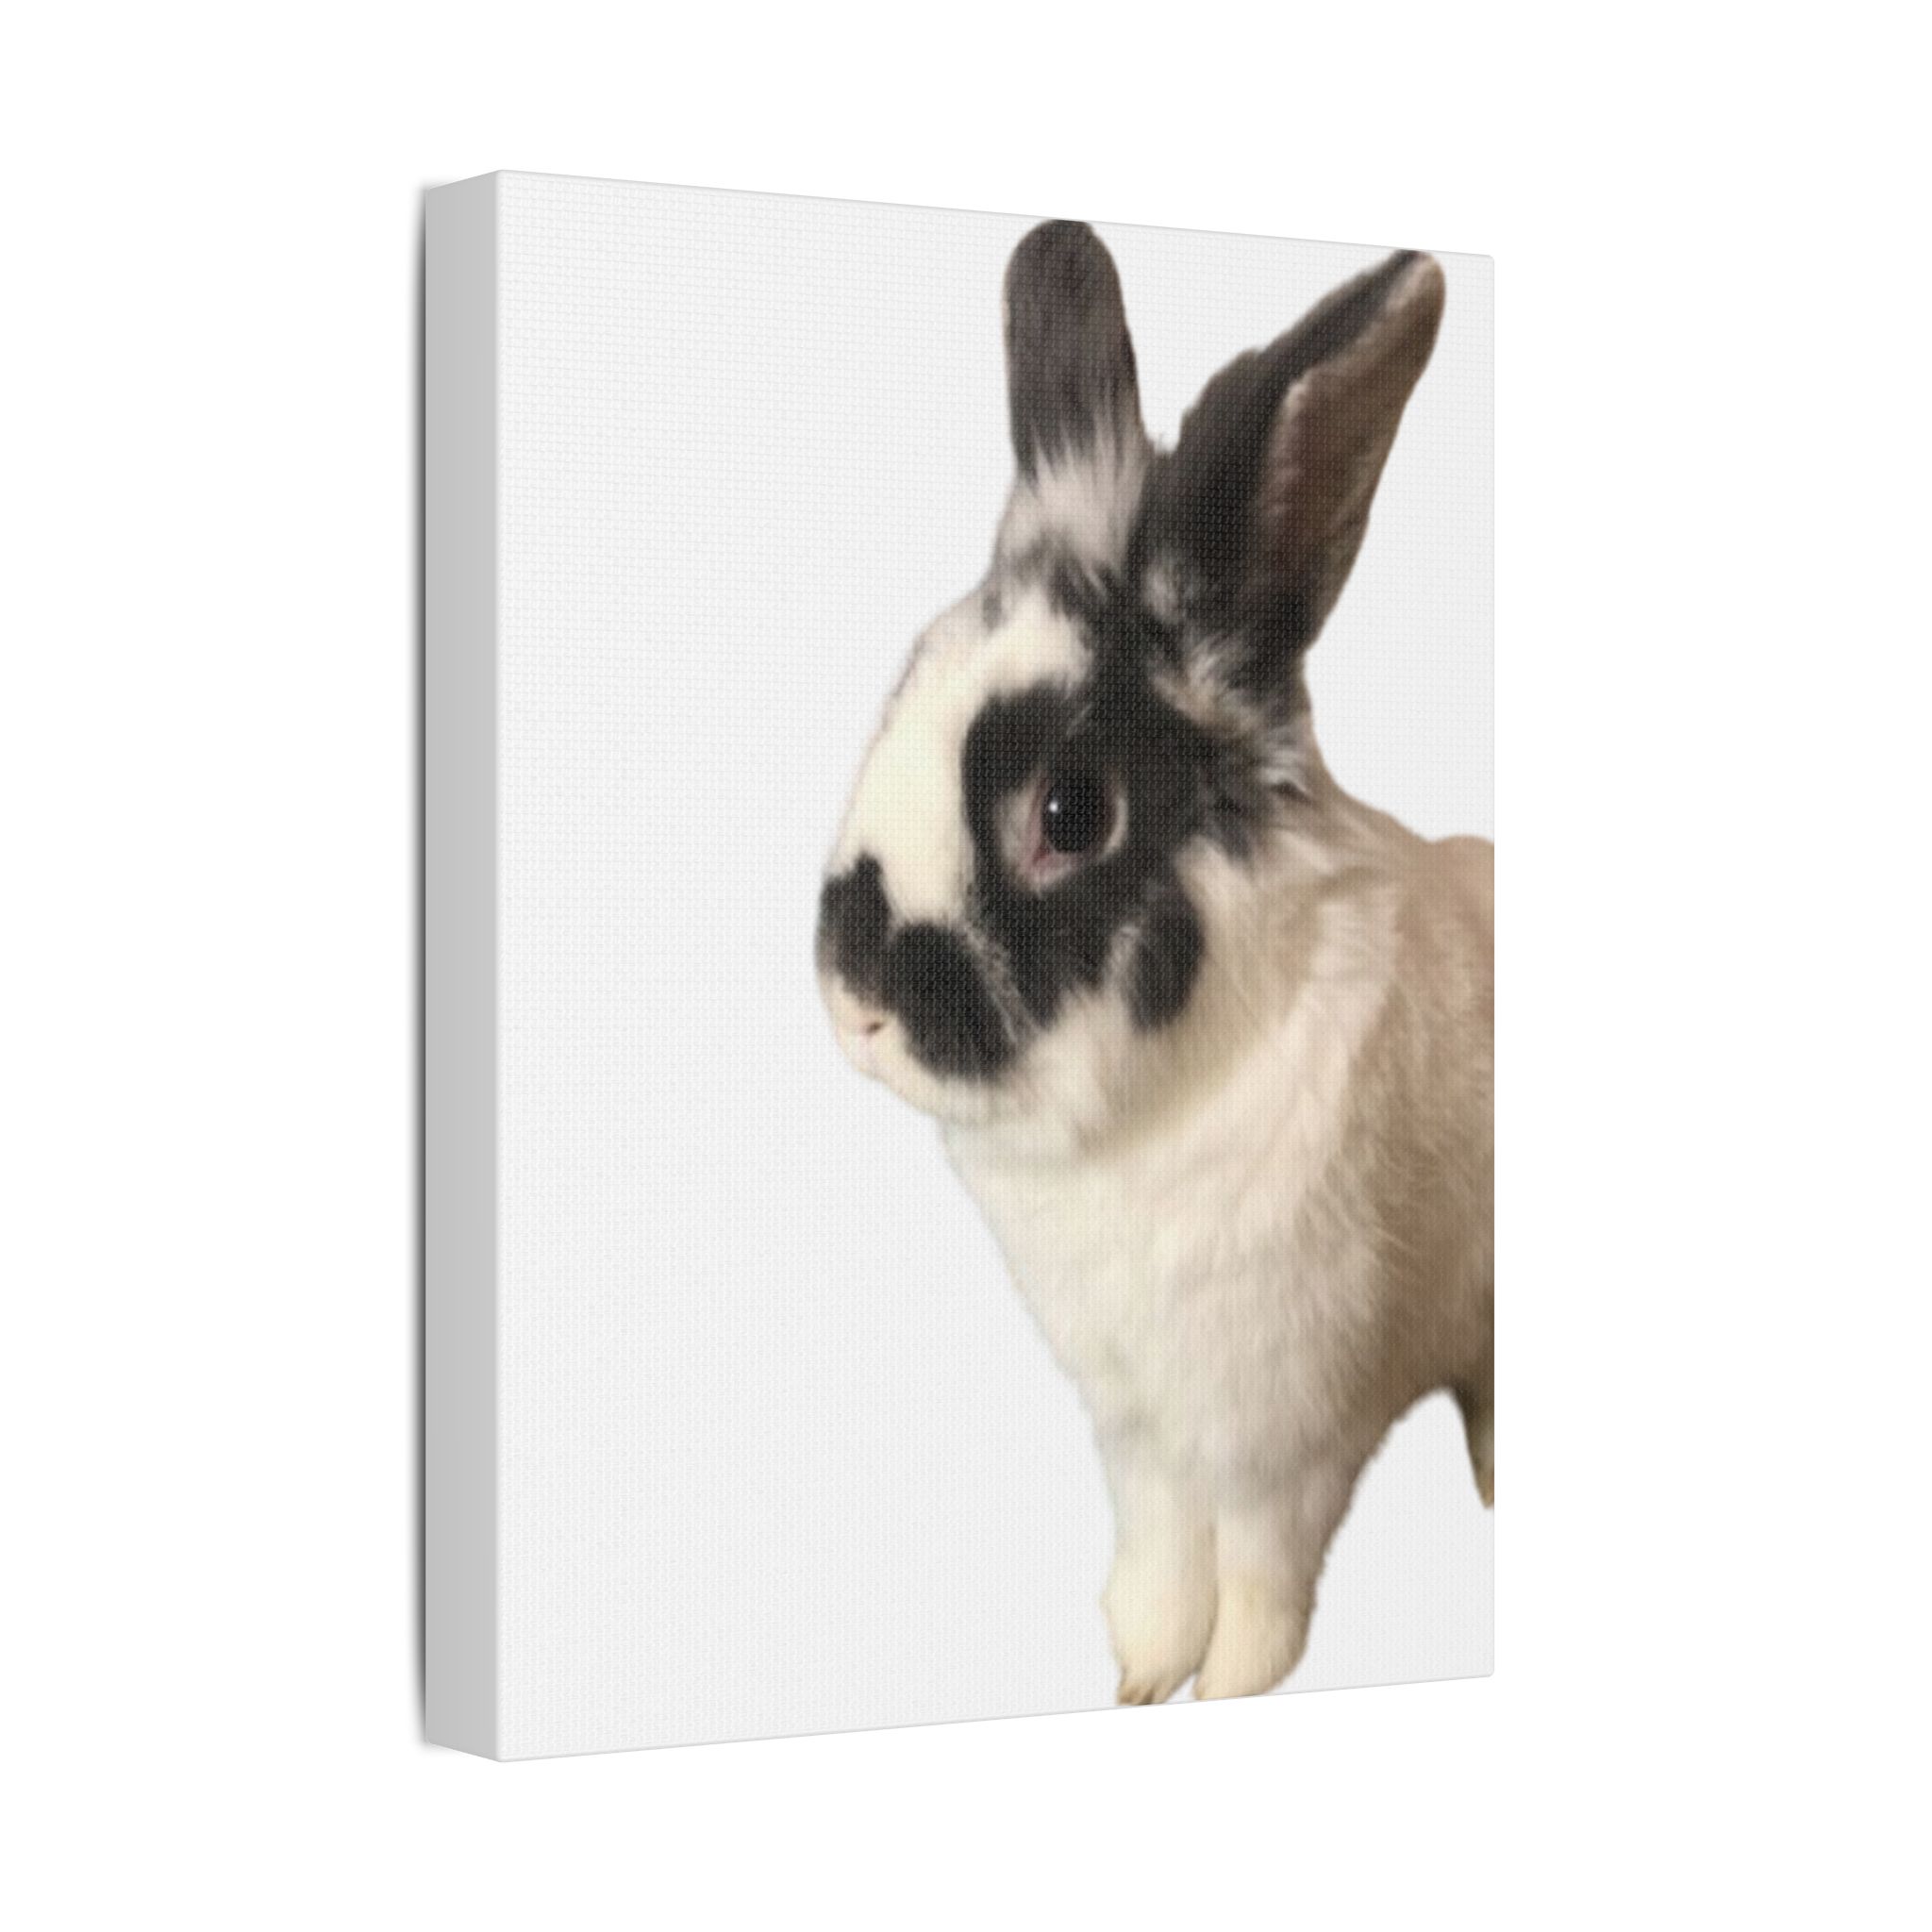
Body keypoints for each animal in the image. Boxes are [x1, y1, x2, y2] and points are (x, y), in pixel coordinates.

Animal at [817, 220, 1492, 1705]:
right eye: (899, 692)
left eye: (1073, 813)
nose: (857, 1002)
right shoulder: (1137, 1425)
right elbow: (1161, 1551)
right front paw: (1138, 1671)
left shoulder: (1278, 1433)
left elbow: (1258, 1570)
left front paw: (1230, 1683)